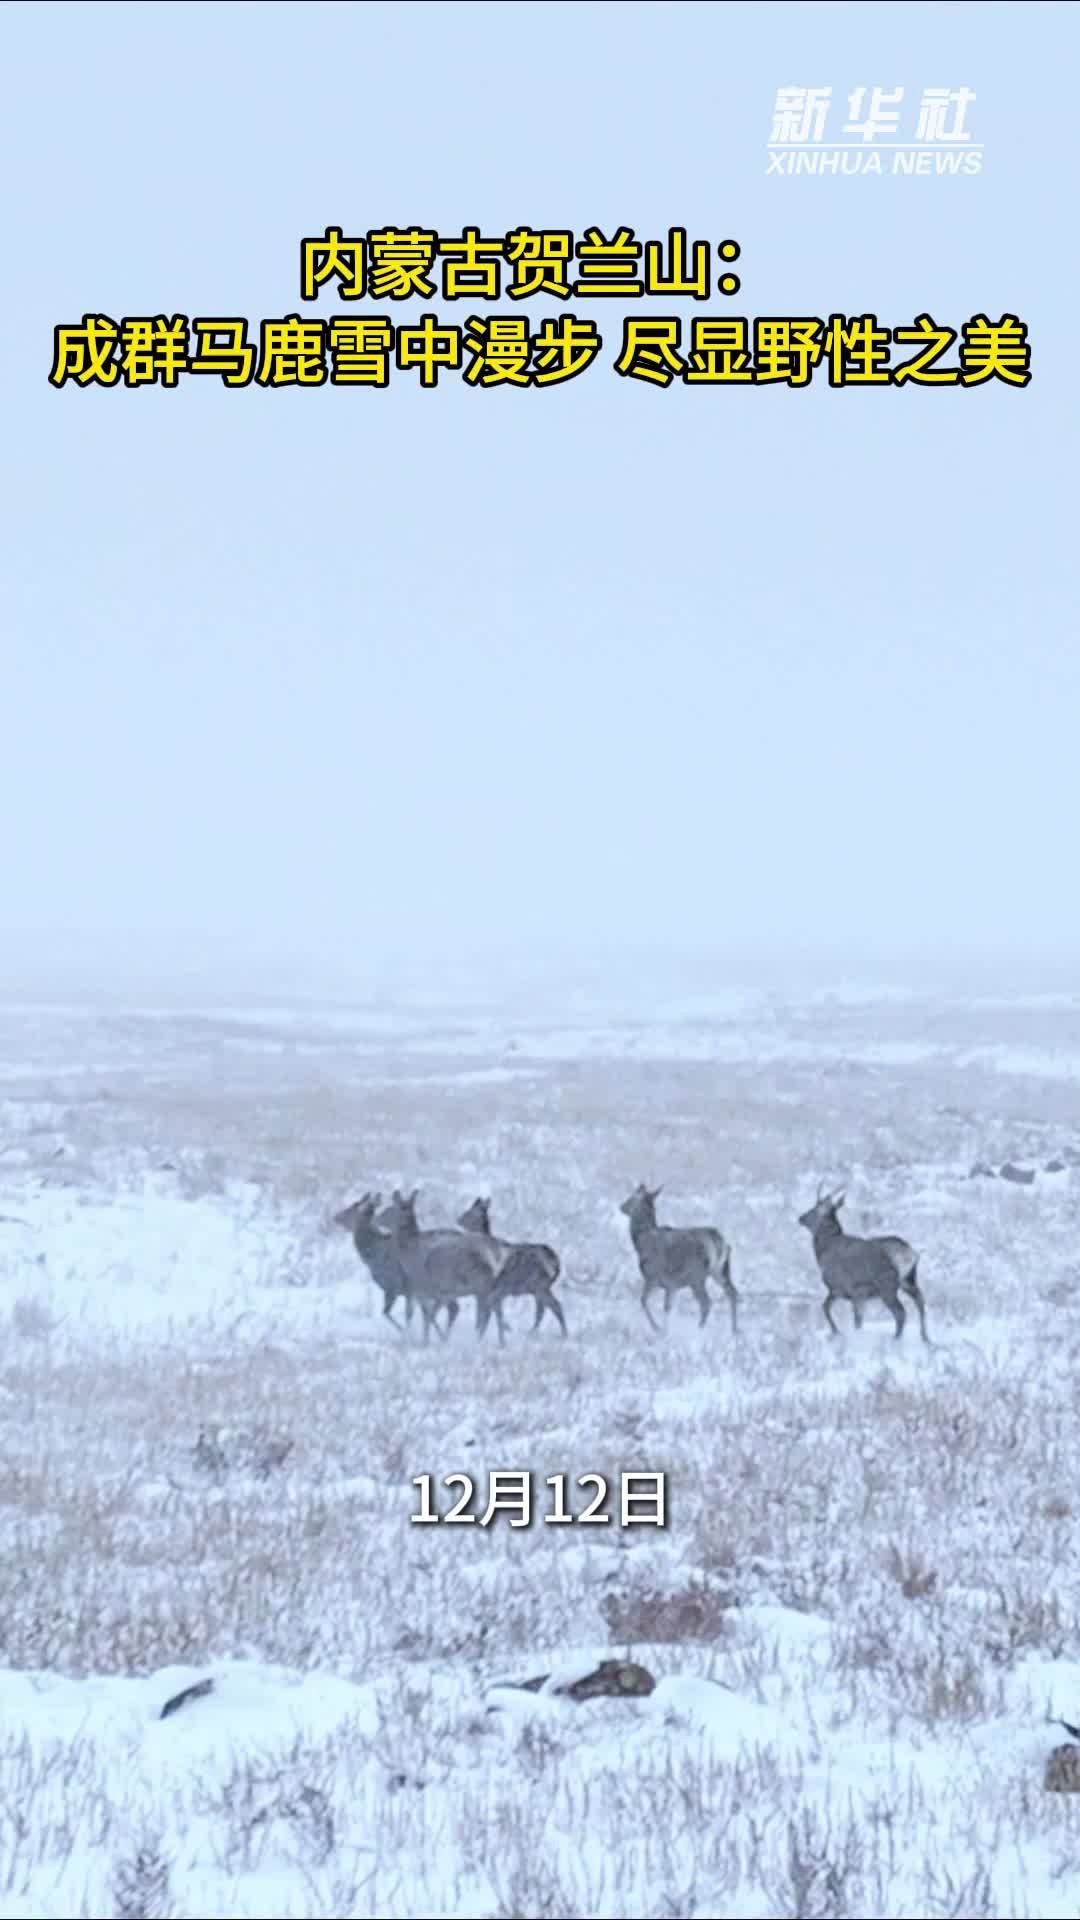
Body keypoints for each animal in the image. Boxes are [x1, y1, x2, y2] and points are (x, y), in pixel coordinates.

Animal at [377, 1189, 509, 1346]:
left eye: (389, 1209)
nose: (376, 1218)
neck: (409, 1254)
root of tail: (493, 1254)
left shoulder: (424, 1287)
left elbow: (428, 1314)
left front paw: (428, 1340)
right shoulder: (438, 1291)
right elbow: (432, 1313)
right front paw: (435, 1338)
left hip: (480, 1283)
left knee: (489, 1310)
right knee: (493, 1309)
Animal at [457, 1196, 568, 1337]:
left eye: (469, 1213)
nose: (458, 1220)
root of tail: (556, 1263)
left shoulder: (493, 1290)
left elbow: (487, 1313)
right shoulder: (497, 1292)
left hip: (539, 1284)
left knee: (553, 1306)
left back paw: (562, 1333)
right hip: (539, 1287)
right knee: (543, 1309)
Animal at [620, 1183, 738, 1334]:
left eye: (631, 1197)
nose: (621, 1207)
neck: (640, 1242)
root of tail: (719, 1242)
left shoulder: (652, 1277)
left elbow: (644, 1301)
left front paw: (658, 1329)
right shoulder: (672, 1285)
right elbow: (667, 1307)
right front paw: (664, 1329)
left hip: (697, 1276)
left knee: (706, 1302)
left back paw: (700, 1329)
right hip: (720, 1270)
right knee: (732, 1293)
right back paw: (734, 1330)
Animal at [797, 1186, 930, 1343]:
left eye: (816, 1208)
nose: (801, 1218)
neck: (824, 1250)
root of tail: (909, 1254)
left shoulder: (842, 1288)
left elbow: (829, 1309)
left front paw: (838, 1332)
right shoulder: (859, 1294)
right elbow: (854, 1318)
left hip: (887, 1285)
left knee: (901, 1312)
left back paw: (896, 1339)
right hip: (909, 1280)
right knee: (920, 1302)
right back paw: (925, 1338)